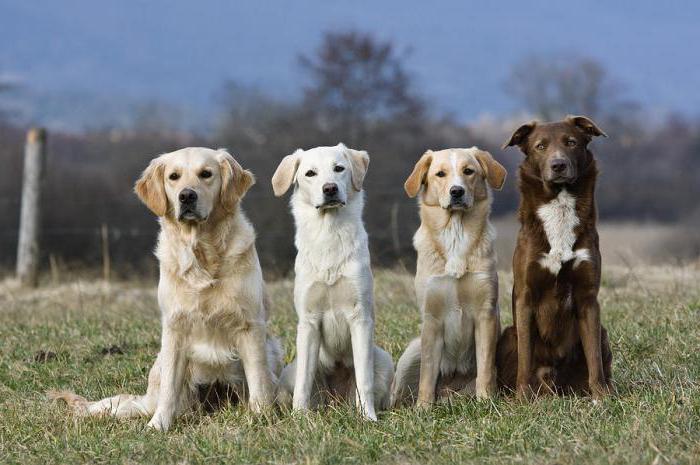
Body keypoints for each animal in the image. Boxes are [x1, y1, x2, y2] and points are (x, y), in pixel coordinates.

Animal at [50, 147, 284, 430]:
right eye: (174, 177)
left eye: (206, 174)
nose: (187, 196)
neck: (202, 253)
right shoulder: (175, 328)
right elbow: (169, 389)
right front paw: (158, 425)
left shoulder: (250, 325)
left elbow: (258, 379)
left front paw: (262, 417)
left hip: (273, 348)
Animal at [272, 143, 396, 418]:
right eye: (310, 173)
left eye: (339, 168)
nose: (329, 188)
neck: (328, 234)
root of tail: (336, 401)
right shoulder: (308, 322)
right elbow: (303, 383)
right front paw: (299, 418)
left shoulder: (360, 318)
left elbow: (364, 379)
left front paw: (368, 417)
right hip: (290, 370)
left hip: (384, 360)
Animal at [498, 116, 612, 398]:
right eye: (540, 146)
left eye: (571, 142)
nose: (558, 165)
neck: (559, 204)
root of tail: (553, 384)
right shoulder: (525, 296)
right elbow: (525, 358)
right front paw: (523, 398)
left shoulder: (587, 297)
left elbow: (594, 357)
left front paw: (602, 396)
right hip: (507, 335)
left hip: (604, 333)